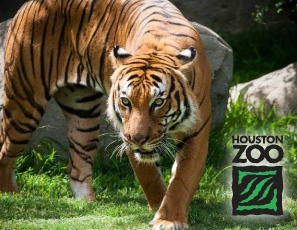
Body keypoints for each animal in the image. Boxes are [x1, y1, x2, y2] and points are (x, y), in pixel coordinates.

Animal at [0, 0, 210, 229]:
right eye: (126, 102)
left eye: (158, 102)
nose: (137, 139)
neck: (159, 44)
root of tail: (29, 5)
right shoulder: (127, 132)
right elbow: (150, 176)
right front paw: (158, 207)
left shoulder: (196, 132)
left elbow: (182, 179)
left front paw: (168, 219)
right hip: (23, 102)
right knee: (5, 151)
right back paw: (10, 194)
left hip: (83, 111)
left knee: (77, 164)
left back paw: (87, 203)